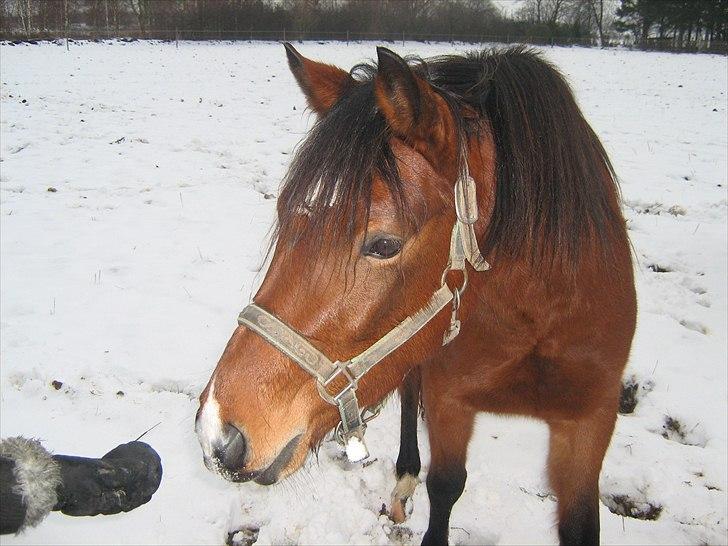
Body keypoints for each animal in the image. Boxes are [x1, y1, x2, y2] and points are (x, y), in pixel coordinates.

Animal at [196, 43, 636, 544]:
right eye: (285, 213)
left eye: (384, 244)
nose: (219, 434)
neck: (536, 320)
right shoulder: (448, 401)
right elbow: (445, 485)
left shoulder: (592, 419)